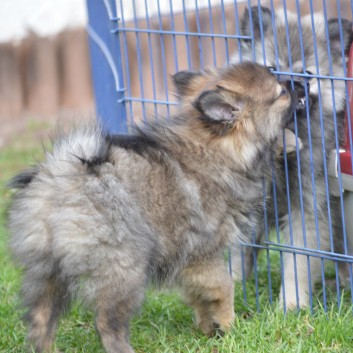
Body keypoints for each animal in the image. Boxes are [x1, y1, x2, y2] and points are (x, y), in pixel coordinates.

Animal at [7, 62, 294, 350]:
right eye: (280, 93)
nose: (296, 84)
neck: (217, 151)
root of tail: (59, 180)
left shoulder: (187, 265)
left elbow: (199, 297)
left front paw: (207, 329)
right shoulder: (203, 254)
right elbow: (224, 288)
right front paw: (230, 326)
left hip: (47, 270)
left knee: (41, 319)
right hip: (124, 268)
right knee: (108, 323)